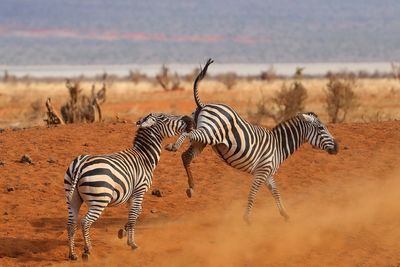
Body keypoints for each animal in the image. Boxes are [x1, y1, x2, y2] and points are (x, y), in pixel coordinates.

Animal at [63, 113, 192, 262]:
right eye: (165, 118)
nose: (189, 119)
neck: (144, 157)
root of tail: (81, 163)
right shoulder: (139, 191)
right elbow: (133, 216)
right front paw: (132, 243)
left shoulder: (131, 194)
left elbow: (135, 213)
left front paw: (123, 232)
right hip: (99, 200)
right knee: (85, 222)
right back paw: (87, 249)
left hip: (72, 198)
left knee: (71, 224)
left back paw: (72, 254)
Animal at [165, 59, 338, 224]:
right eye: (321, 128)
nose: (337, 147)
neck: (279, 145)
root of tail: (204, 104)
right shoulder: (261, 172)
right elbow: (253, 193)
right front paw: (247, 219)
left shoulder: (268, 173)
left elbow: (275, 192)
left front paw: (285, 215)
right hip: (209, 133)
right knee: (188, 134)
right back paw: (173, 146)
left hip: (203, 140)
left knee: (186, 154)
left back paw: (191, 188)